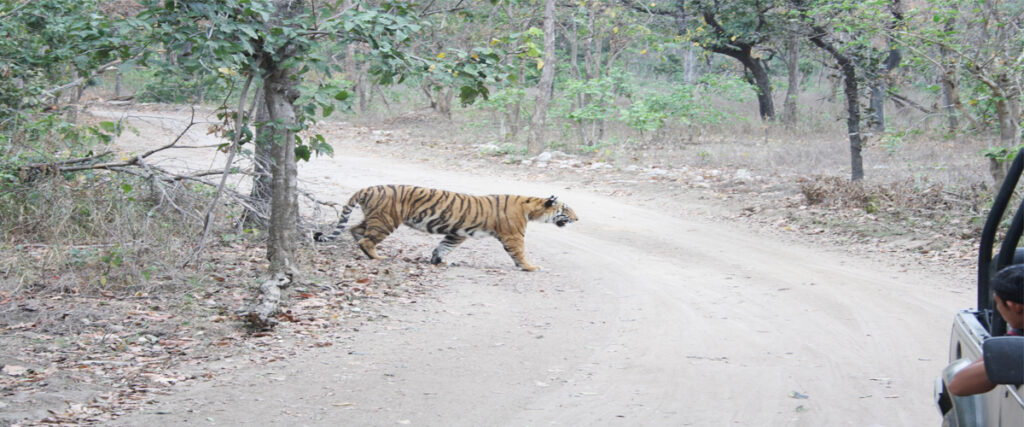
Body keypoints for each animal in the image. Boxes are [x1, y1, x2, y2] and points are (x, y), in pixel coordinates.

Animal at [313, 183, 577, 270]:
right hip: (386, 221)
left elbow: (443, 246)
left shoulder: (456, 233)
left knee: (355, 229)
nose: (577, 219)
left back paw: (360, 247)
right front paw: (531, 267)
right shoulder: (513, 235)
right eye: (567, 210)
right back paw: (376, 257)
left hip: (375, 217)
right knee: (367, 239)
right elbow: (520, 253)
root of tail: (368, 188)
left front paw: (439, 261)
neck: (531, 208)